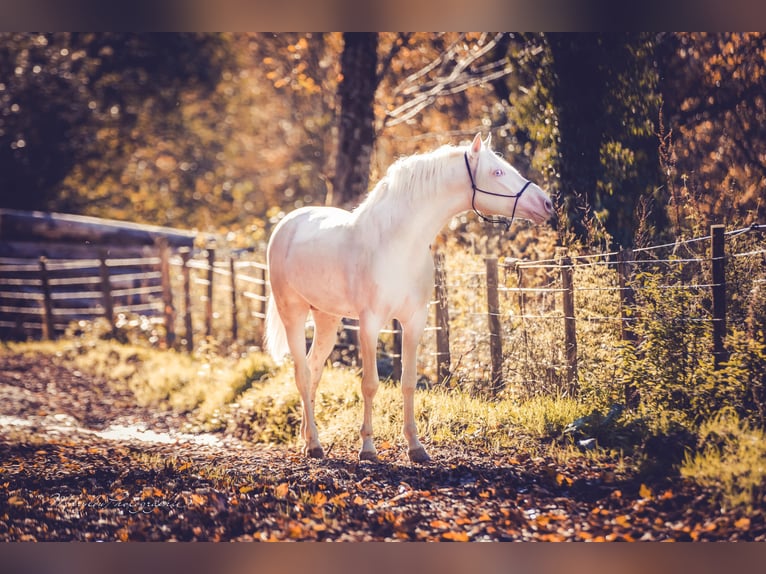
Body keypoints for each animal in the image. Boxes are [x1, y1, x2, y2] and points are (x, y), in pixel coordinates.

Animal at [268, 134, 556, 464]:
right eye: (497, 172)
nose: (547, 203)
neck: (398, 244)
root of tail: (288, 223)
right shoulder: (370, 323)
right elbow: (370, 384)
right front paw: (368, 448)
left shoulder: (415, 321)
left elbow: (408, 383)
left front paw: (416, 447)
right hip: (293, 312)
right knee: (302, 373)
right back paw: (315, 444)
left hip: (327, 317)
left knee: (314, 370)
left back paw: (308, 437)